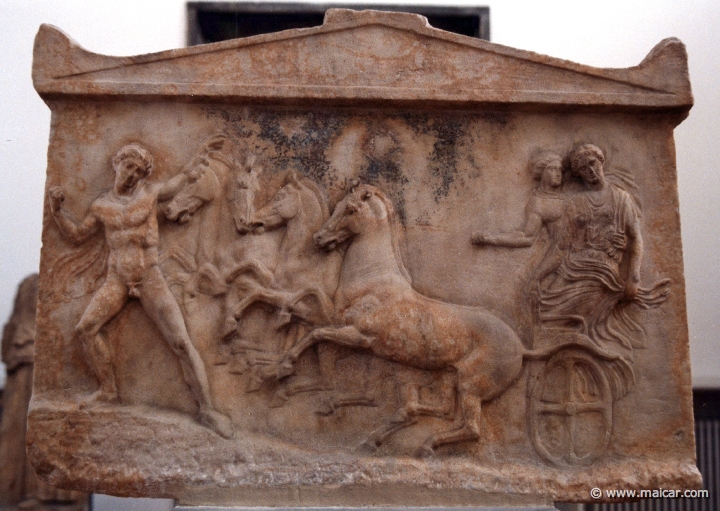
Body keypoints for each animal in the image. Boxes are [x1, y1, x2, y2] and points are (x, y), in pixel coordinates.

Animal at [270, 183, 528, 456]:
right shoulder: (336, 317)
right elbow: (310, 293)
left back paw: (421, 444)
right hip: (449, 377)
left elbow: (316, 332)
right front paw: (283, 316)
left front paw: (285, 365)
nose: (319, 238)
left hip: (470, 386)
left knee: (472, 428)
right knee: (446, 412)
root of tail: (522, 348)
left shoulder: (359, 335)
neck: (373, 280)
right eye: (337, 206)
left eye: (351, 209)